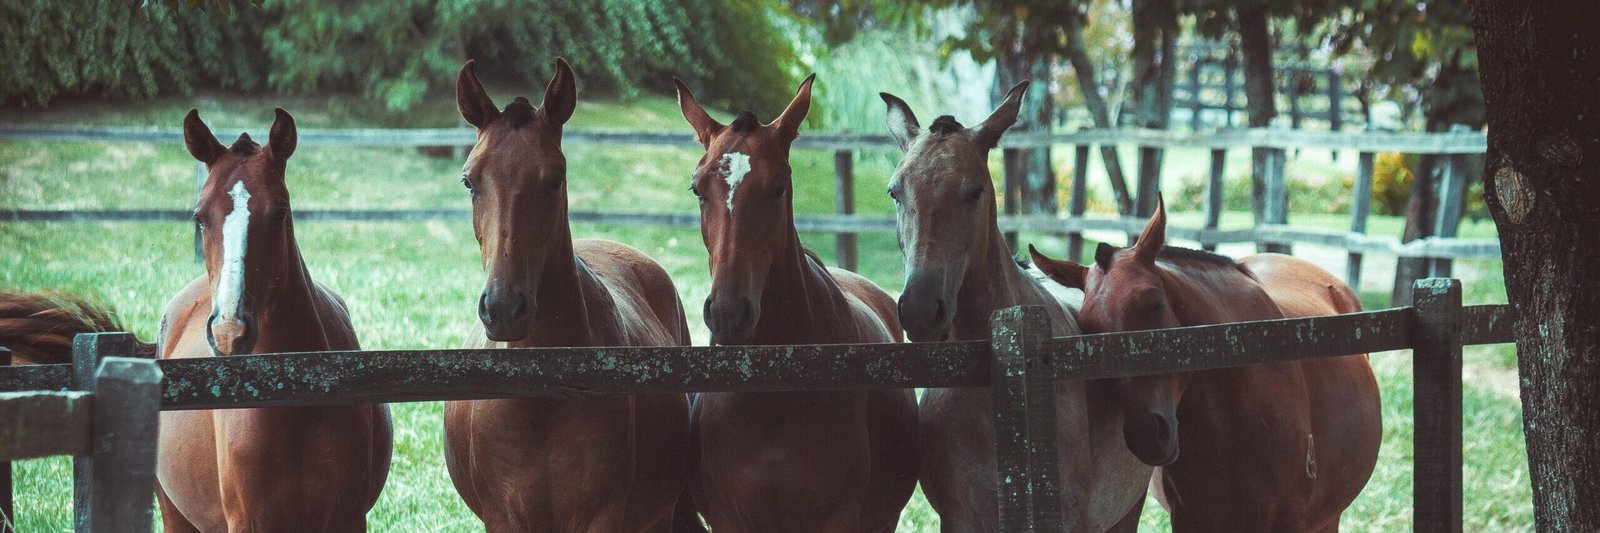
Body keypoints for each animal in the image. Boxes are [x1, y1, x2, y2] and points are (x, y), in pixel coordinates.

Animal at [155, 108, 393, 531]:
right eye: (200, 217)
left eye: (279, 212)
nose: (229, 331)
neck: (294, 399)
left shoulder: (349, 517)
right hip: (173, 514)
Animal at [442, 59, 694, 532]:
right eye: (469, 181)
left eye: (555, 178)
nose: (504, 308)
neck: (544, 396)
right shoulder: (502, 517)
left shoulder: (603, 515)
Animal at [675, 75, 918, 531]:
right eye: (697, 189)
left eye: (778, 188)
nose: (729, 313)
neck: (773, 392)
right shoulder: (727, 518)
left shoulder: (839, 516)